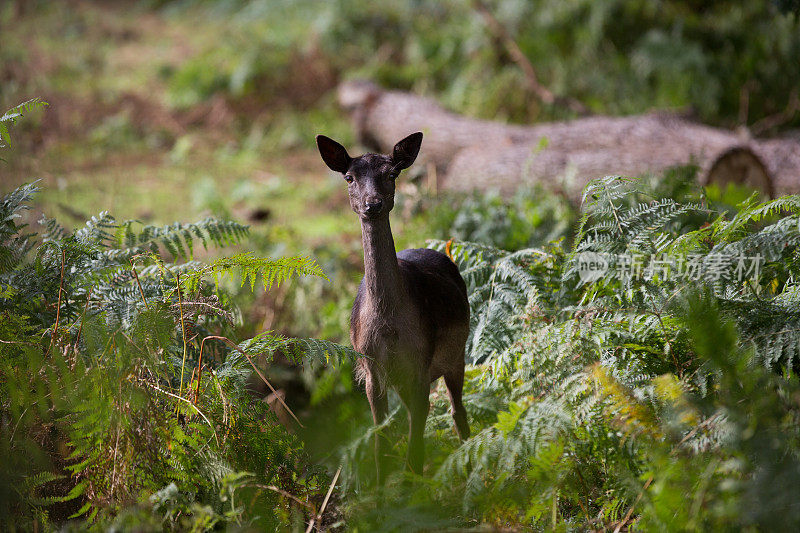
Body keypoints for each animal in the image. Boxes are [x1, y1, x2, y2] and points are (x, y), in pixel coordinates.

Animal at [316, 132, 472, 478]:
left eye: (391, 174)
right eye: (349, 177)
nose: (371, 204)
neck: (389, 325)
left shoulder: (421, 360)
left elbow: (416, 441)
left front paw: (414, 482)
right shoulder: (372, 370)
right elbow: (382, 439)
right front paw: (381, 485)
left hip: (456, 354)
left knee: (457, 410)